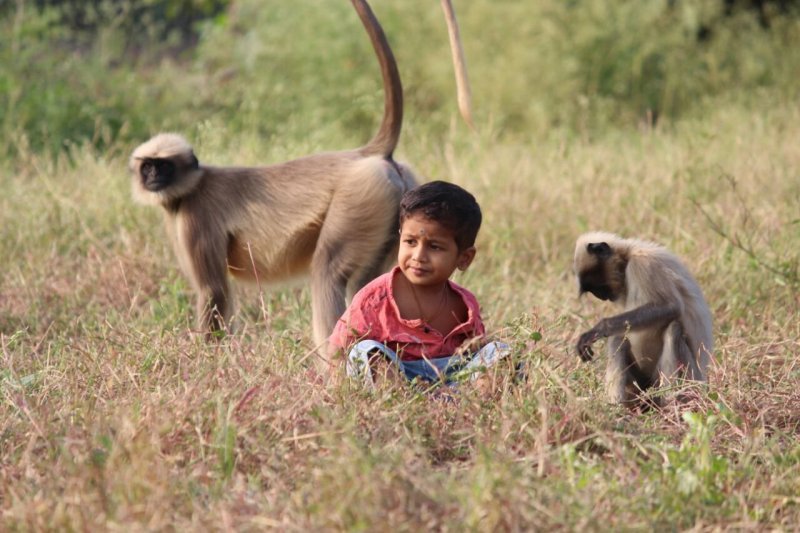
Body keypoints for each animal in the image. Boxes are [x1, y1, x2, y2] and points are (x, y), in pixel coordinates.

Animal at [127, 0, 416, 362]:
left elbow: (213, 291)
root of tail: (365, 154)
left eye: (162, 167)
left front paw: (209, 362)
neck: (195, 184)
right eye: (147, 167)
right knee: (369, 284)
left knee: (328, 272)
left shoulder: (195, 217)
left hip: (360, 196)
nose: (152, 177)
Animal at [572, 231, 716, 406]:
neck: (628, 255)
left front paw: (599, 328)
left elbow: (670, 306)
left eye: (599, 287)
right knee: (618, 339)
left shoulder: (643, 263)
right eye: (595, 291)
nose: (601, 296)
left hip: (689, 378)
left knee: (673, 329)